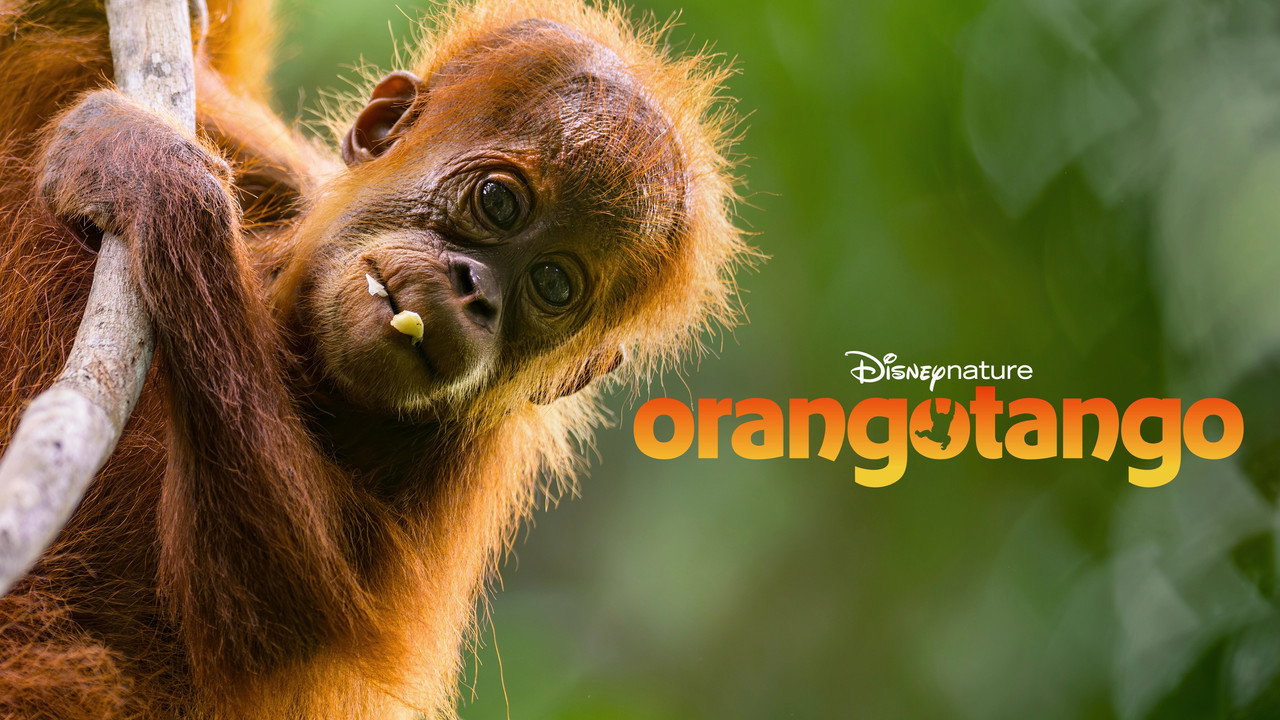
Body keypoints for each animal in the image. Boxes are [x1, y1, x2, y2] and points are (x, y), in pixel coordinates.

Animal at [0, 0, 749, 718]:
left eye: (554, 284)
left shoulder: (456, 473)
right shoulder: (279, 176)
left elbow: (271, 615)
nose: (476, 293)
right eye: (499, 201)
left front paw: (152, 177)